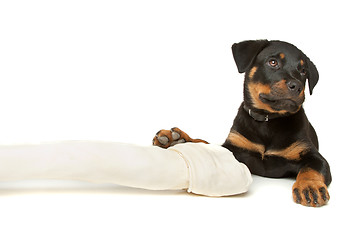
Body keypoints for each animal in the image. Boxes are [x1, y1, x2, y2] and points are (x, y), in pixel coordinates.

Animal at [152, 40, 332, 207]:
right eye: (273, 62)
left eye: (303, 71)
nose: (297, 86)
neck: (267, 120)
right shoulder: (234, 147)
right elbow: (208, 146)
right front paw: (178, 140)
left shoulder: (315, 157)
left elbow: (310, 169)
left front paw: (309, 187)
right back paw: (176, 139)